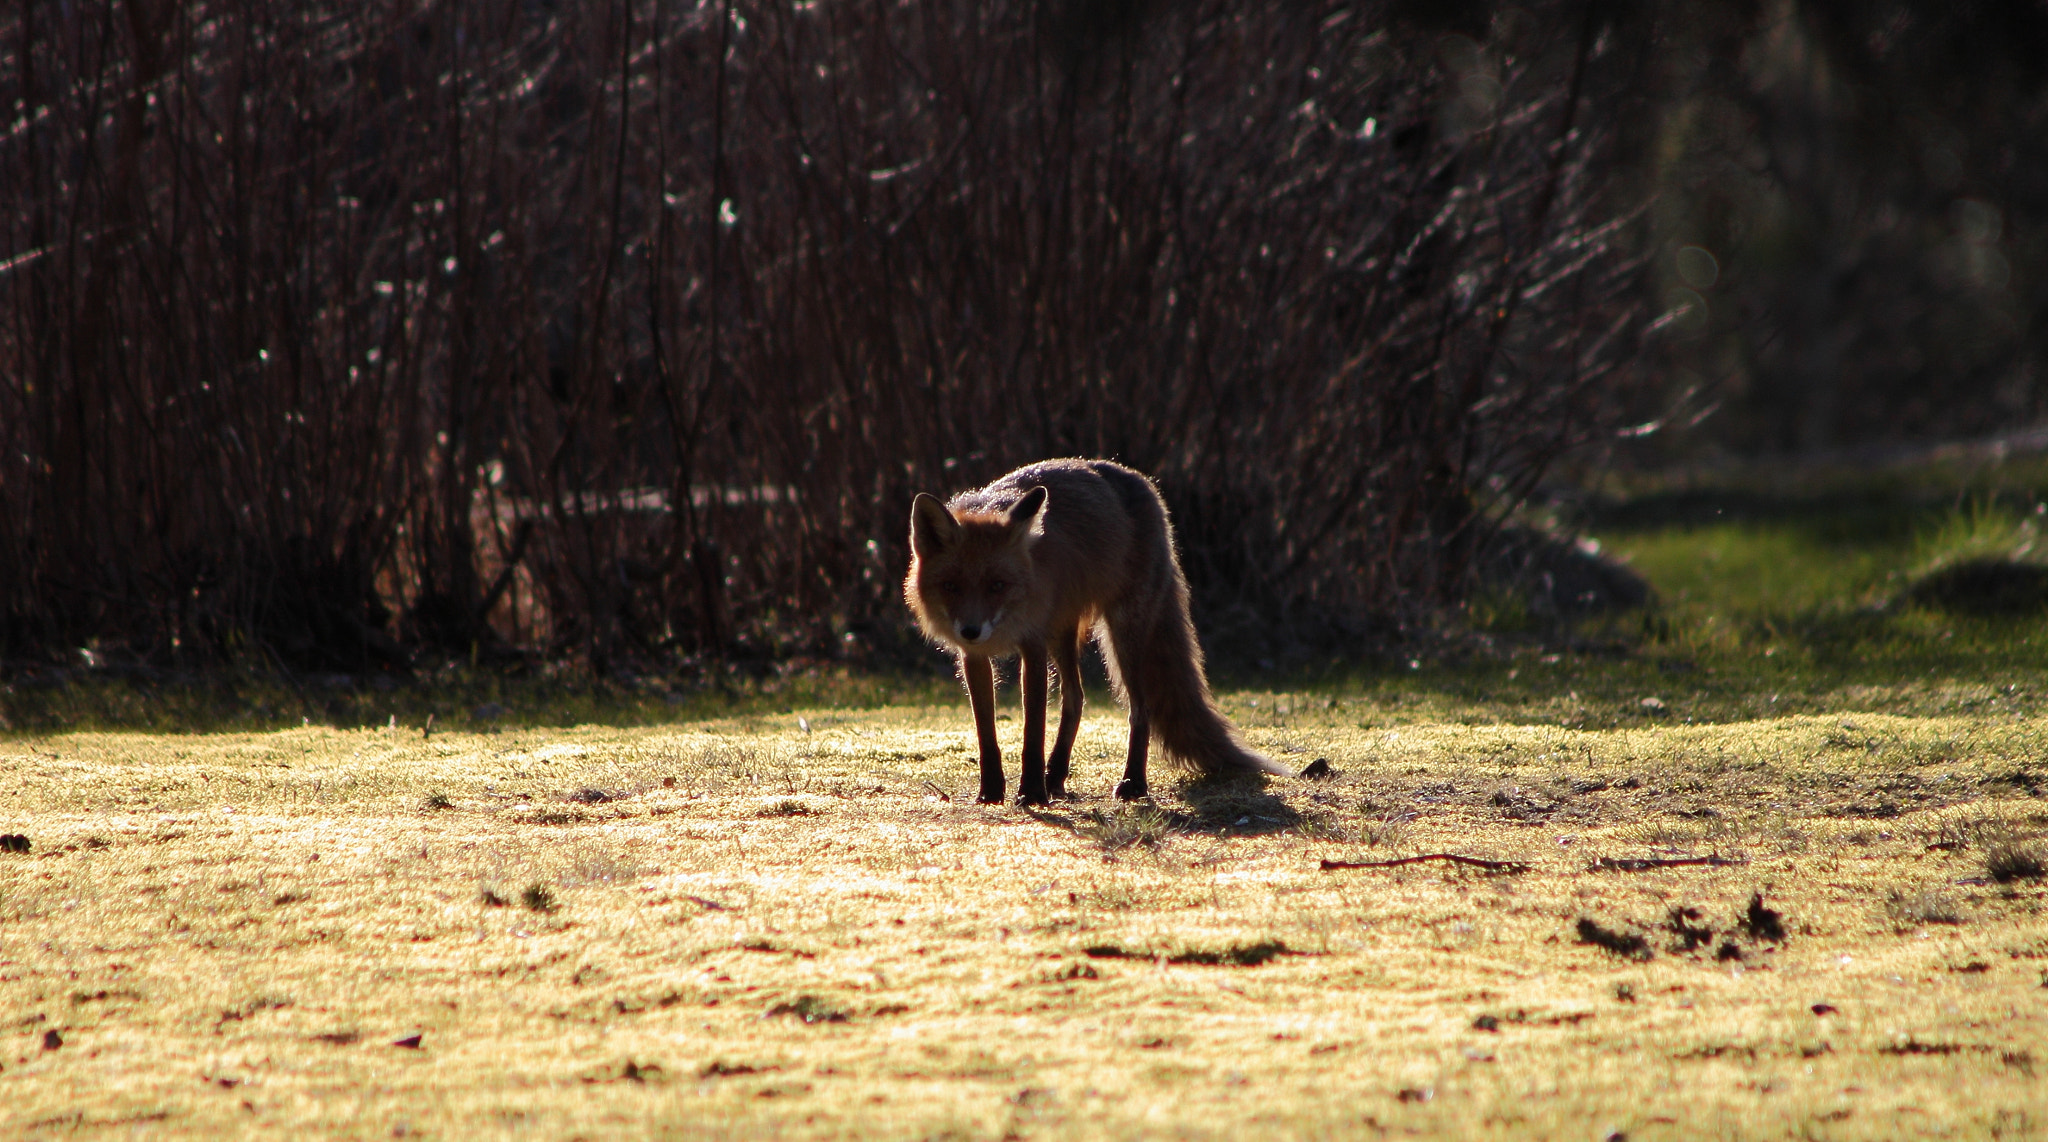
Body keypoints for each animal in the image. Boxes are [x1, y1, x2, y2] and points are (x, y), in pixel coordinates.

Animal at [909, 456, 1286, 806]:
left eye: (997, 586)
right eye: (951, 586)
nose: (970, 630)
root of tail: (1141, 480)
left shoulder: (1033, 644)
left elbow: (1033, 731)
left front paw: (1031, 793)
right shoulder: (974, 657)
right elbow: (986, 731)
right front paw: (991, 792)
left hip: (1123, 633)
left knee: (1140, 710)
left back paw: (1132, 783)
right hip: (1063, 633)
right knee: (1075, 699)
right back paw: (1055, 777)